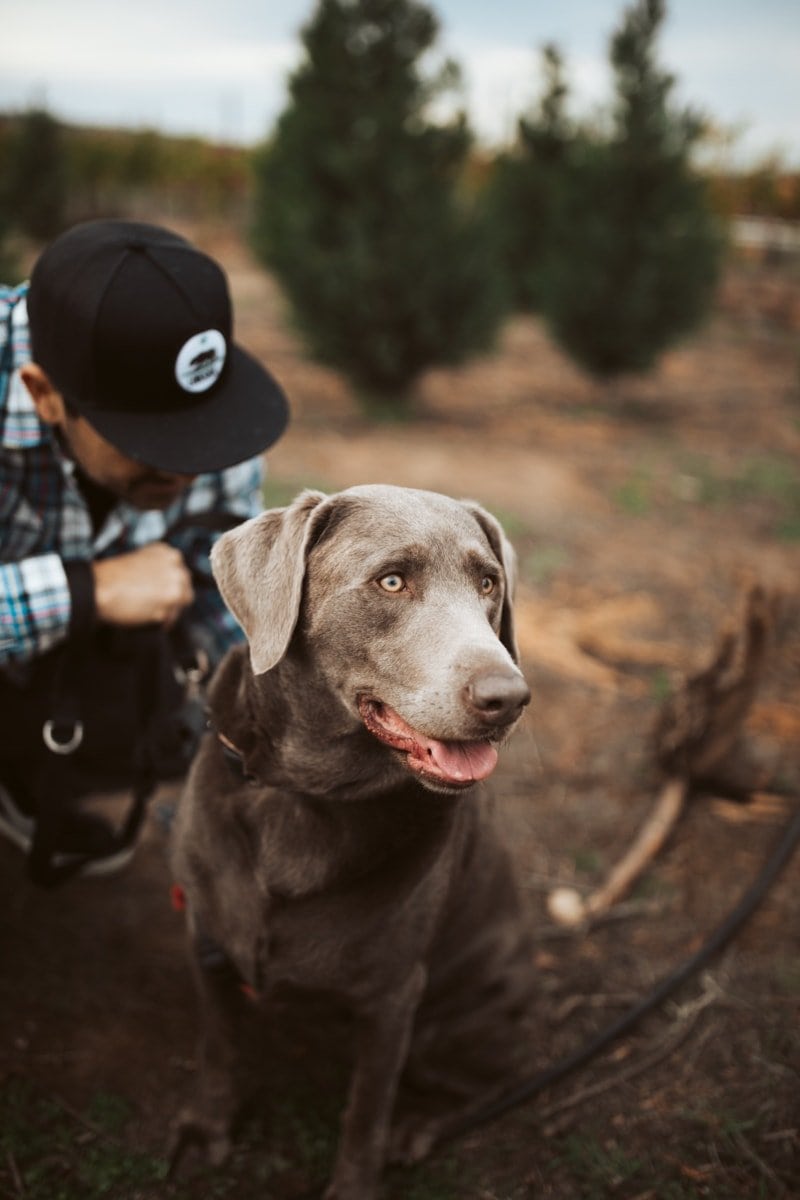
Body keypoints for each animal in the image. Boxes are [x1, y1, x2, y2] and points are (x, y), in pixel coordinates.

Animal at [173, 484, 537, 1200]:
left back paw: (419, 1128)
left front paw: (356, 1181)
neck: (310, 796)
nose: (509, 697)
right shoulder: (206, 942)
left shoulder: (392, 998)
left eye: (488, 583)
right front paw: (208, 1127)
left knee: (495, 1080)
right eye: (391, 581)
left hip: (461, 1019)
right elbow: (216, 1046)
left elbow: (367, 1110)